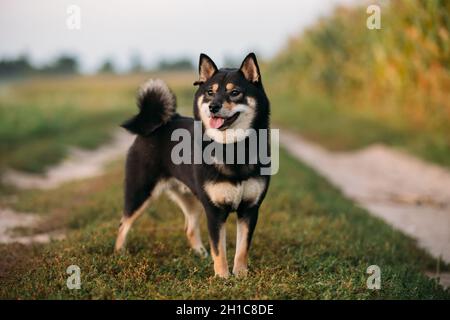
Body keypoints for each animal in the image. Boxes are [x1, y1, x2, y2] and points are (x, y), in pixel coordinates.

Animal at [116, 52, 270, 278]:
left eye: (235, 92)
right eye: (209, 92)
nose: (213, 107)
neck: (232, 148)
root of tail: (160, 123)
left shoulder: (249, 209)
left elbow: (242, 249)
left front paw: (241, 275)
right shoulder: (214, 211)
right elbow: (219, 249)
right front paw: (223, 277)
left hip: (192, 199)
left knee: (189, 228)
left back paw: (200, 253)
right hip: (140, 192)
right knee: (123, 223)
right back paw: (119, 254)